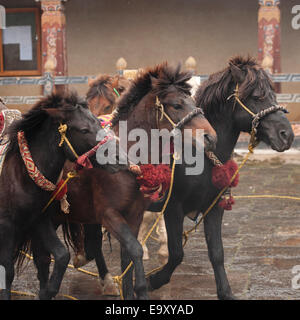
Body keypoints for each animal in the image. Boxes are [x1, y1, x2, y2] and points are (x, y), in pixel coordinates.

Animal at [31, 63, 217, 300]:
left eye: (192, 100)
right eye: (176, 104)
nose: (210, 136)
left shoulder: (134, 214)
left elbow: (127, 254)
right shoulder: (109, 215)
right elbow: (134, 249)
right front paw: (142, 287)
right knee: (43, 254)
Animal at [146, 55, 294, 300]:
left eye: (273, 95)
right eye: (257, 97)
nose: (287, 136)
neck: (198, 157)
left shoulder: (213, 206)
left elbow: (217, 252)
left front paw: (226, 292)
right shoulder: (173, 207)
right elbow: (177, 252)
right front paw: (155, 280)